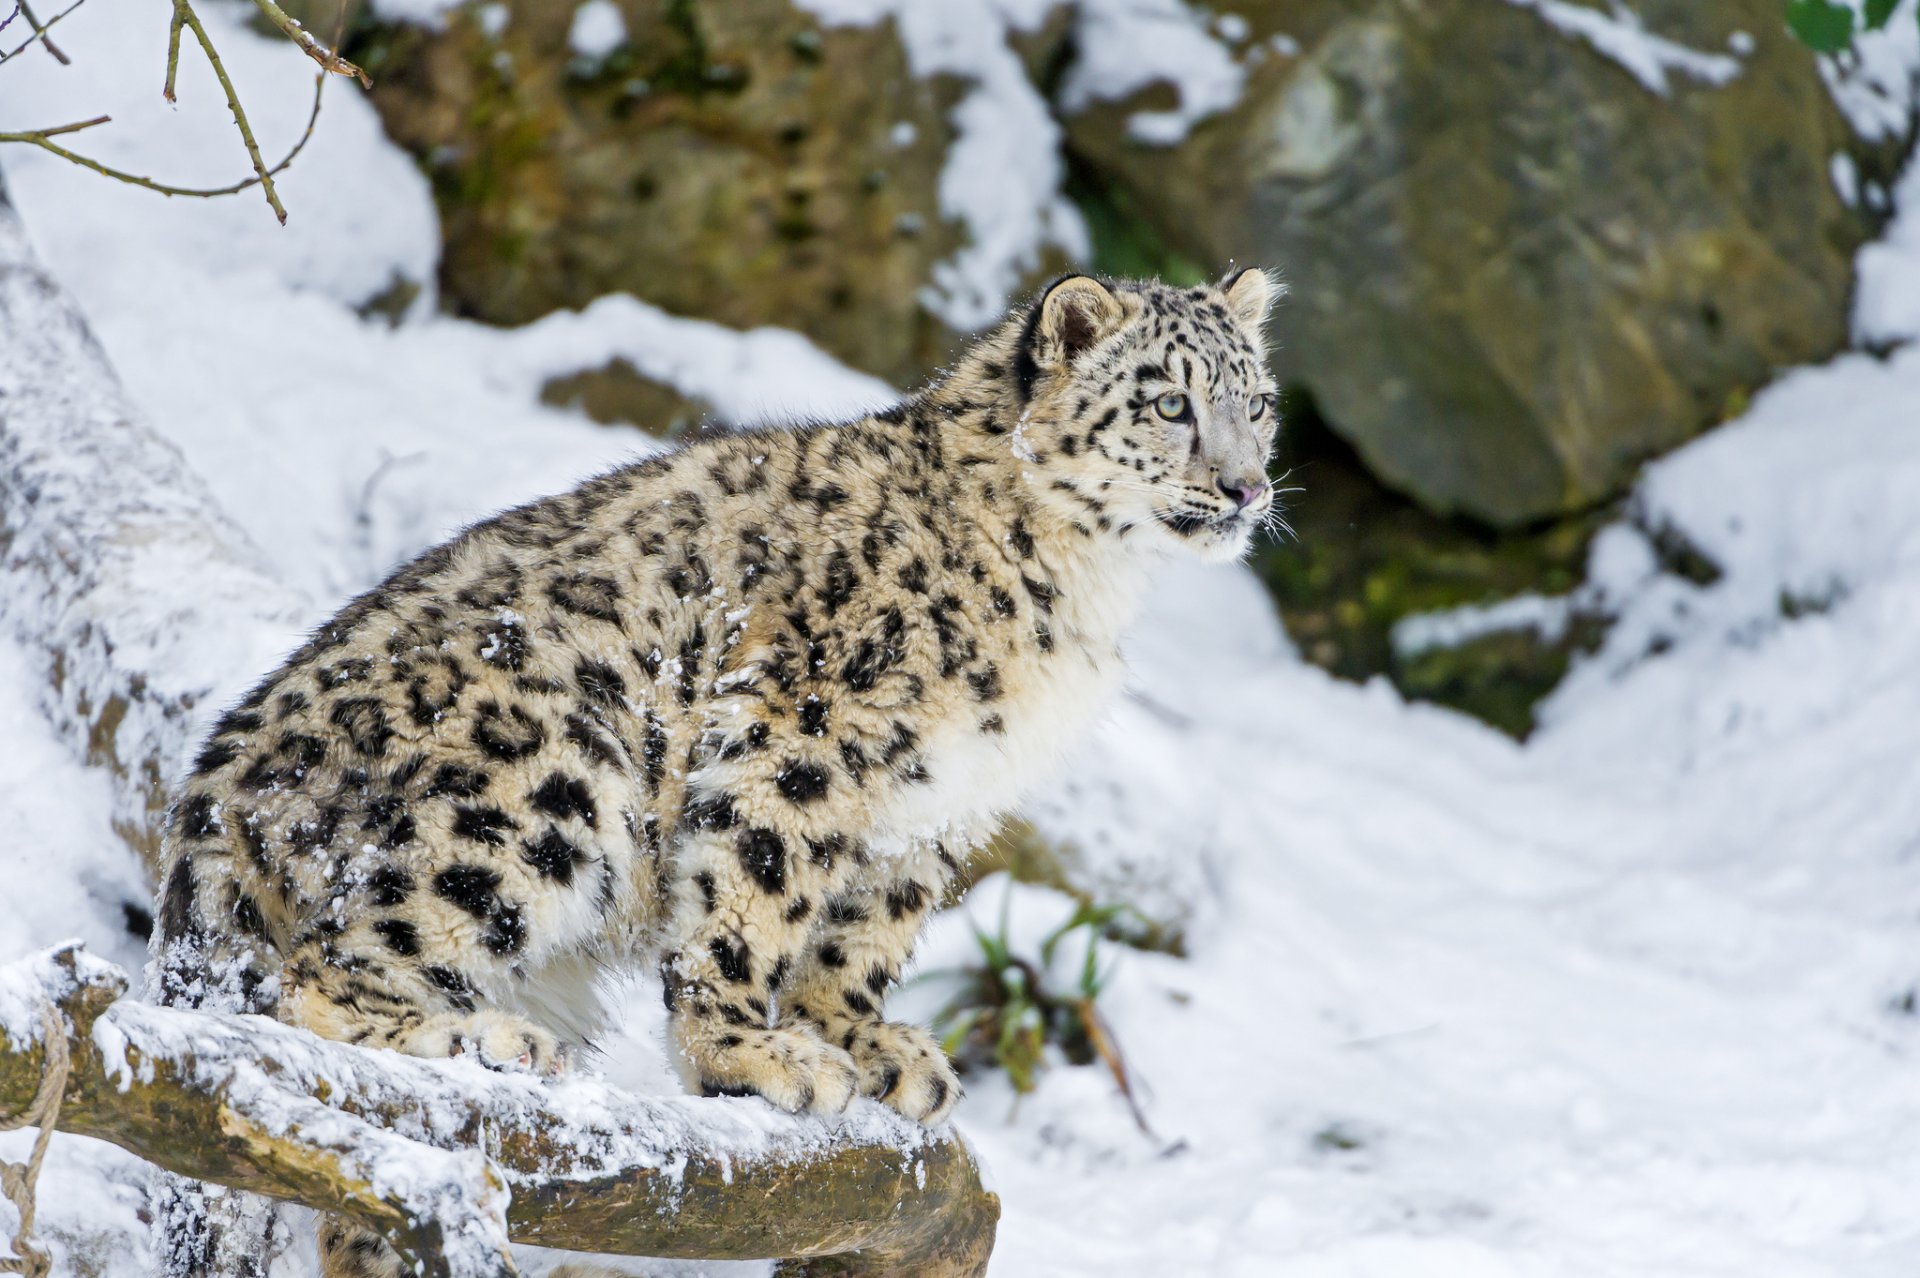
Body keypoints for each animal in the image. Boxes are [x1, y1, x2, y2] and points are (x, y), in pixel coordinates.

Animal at [157, 262, 1282, 1266]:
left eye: (1259, 405)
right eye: (1172, 403)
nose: (1246, 486)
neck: (1084, 588)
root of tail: (212, 801)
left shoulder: (936, 804)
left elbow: (865, 932)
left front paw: (872, 1045)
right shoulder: (803, 731)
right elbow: (756, 894)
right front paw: (748, 1052)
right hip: (545, 777)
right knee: (321, 970)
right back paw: (478, 1040)